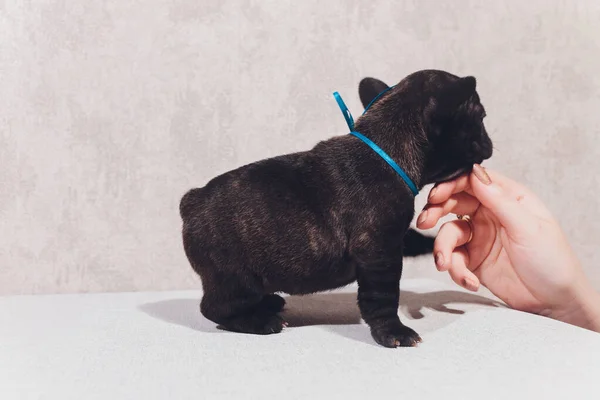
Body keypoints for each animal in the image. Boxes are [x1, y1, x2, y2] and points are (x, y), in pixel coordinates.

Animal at [180, 69, 494, 346]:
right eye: (480, 118)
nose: (490, 143)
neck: (388, 148)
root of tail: (191, 202)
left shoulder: (395, 237)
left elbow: (415, 241)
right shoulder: (379, 251)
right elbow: (383, 296)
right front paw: (393, 332)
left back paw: (268, 302)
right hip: (235, 279)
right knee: (215, 309)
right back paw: (259, 321)